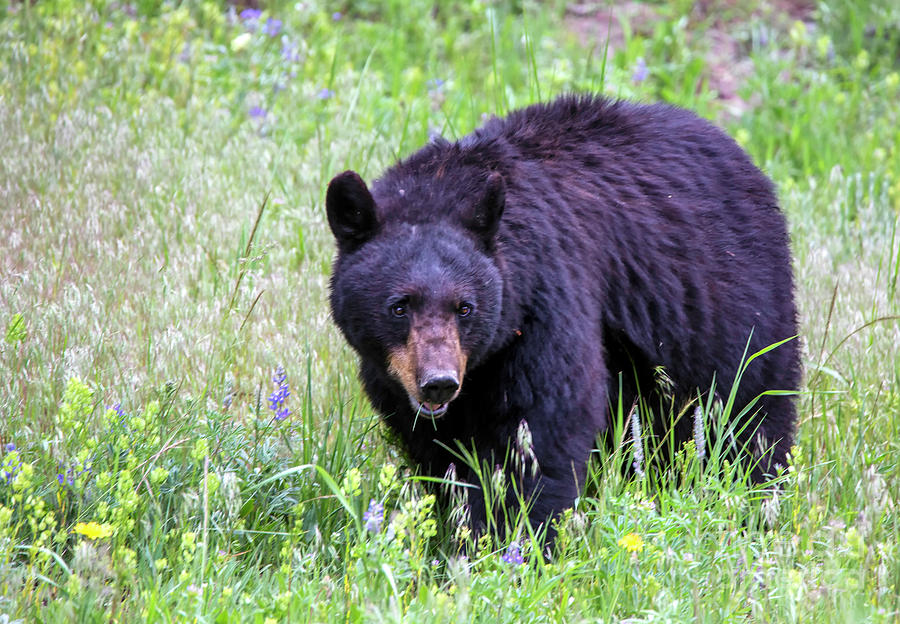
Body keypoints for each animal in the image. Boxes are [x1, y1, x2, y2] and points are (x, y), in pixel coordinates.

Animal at [326, 95, 800, 532]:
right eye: (398, 306)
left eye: (465, 307)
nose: (439, 382)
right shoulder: (394, 375)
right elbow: (439, 453)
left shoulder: (545, 300)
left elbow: (539, 433)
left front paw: (513, 539)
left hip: (725, 303)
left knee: (748, 409)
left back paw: (750, 501)